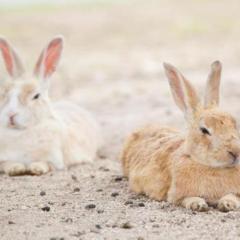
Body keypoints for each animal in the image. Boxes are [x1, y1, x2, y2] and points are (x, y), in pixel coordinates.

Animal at [0, 35, 101, 175]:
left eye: (36, 96)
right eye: (4, 93)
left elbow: (46, 164)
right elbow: (6, 164)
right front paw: (16, 169)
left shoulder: (55, 160)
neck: (22, 131)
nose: (11, 114)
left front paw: (36, 168)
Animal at [122, 61, 240, 211]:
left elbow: (232, 196)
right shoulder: (176, 195)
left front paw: (227, 204)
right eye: (204, 130)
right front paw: (198, 204)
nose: (236, 151)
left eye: (235, 124)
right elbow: (186, 199)